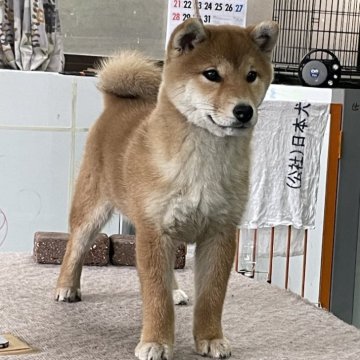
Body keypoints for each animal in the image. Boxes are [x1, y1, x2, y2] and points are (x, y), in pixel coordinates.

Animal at [54, 17, 278, 360]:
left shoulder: (219, 233)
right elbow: (155, 297)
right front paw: (156, 341)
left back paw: (175, 290)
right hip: (93, 210)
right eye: (211, 74)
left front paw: (211, 338)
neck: (204, 160)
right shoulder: (154, 231)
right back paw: (67, 286)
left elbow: (212, 296)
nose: (244, 110)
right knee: (75, 246)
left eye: (252, 75)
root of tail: (115, 104)